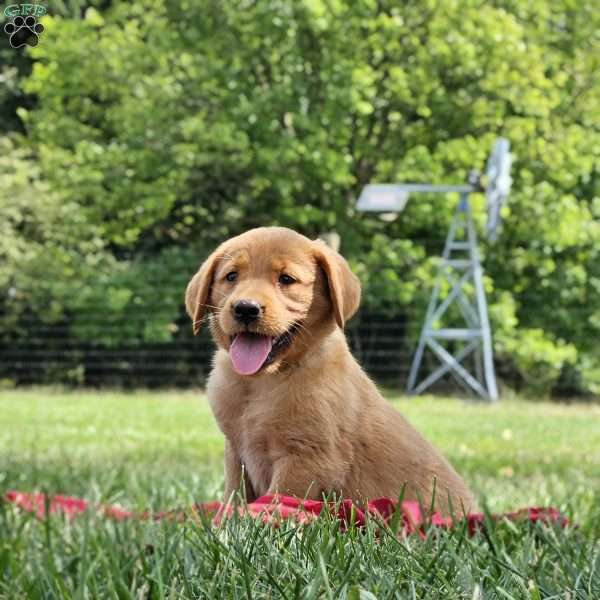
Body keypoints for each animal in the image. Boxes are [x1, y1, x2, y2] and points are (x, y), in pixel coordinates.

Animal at [185, 227, 476, 512]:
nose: (246, 308)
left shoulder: (307, 458)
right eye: (231, 276)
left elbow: (276, 502)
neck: (262, 382)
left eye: (287, 279)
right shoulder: (237, 453)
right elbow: (233, 499)